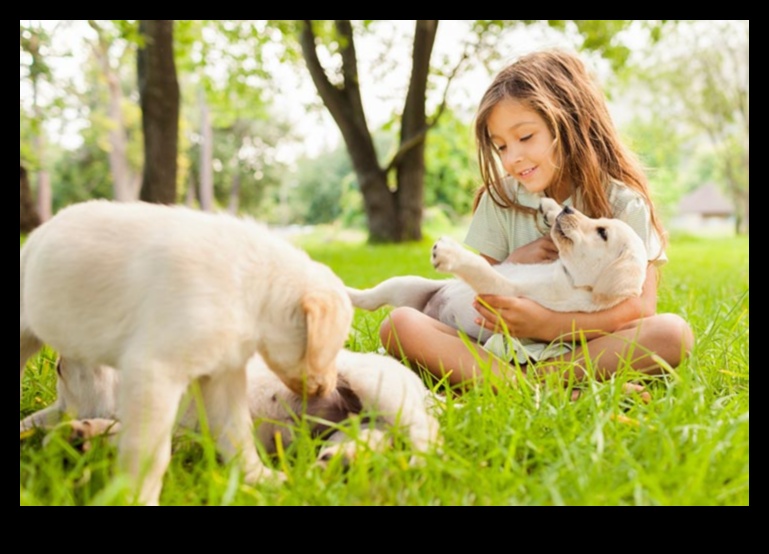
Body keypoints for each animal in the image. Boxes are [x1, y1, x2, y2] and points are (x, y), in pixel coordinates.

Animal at [19, 199, 352, 504]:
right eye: (334, 346)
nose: (330, 390)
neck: (252, 288)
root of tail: (36, 236)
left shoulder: (222, 375)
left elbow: (238, 435)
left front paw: (261, 479)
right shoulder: (154, 370)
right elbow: (150, 452)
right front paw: (139, 497)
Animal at [348, 196, 648, 338]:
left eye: (602, 233)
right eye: (599, 220)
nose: (568, 209)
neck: (567, 274)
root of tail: (428, 310)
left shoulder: (502, 291)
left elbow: (480, 266)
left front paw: (449, 252)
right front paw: (550, 207)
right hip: (407, 283)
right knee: (369, 298)